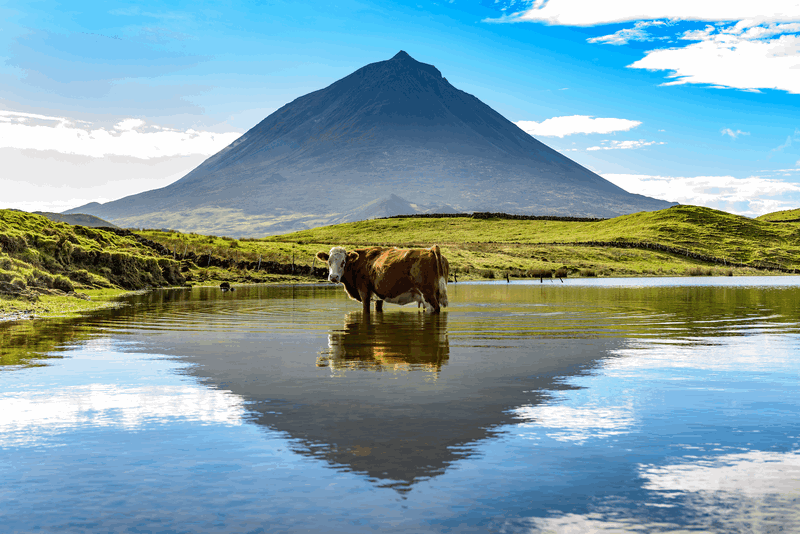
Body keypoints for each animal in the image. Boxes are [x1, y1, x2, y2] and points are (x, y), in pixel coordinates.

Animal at [314, 246, 450, 316]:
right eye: (329, 261)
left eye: (344, 262)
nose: (334, 277)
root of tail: (430, 249)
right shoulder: (378, 297)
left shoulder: (364, 292)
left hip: (428, 294)